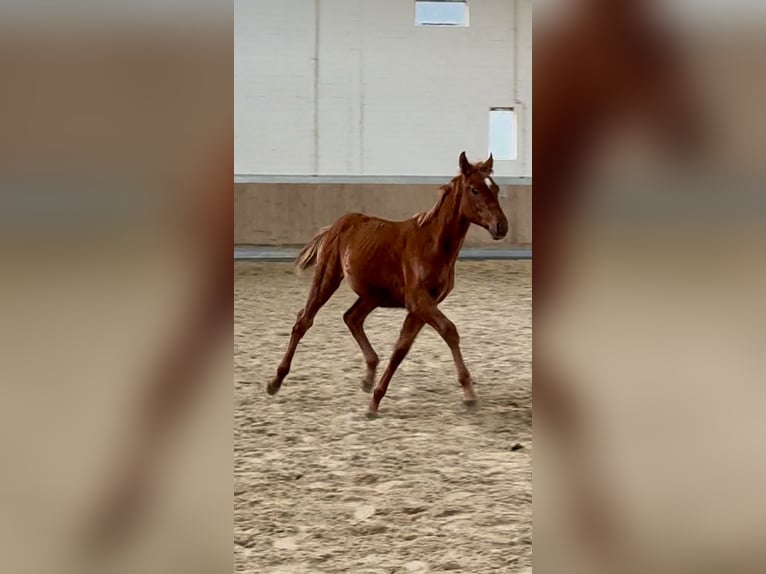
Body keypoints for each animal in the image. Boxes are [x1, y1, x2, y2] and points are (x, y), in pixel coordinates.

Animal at [266, 151, 509, 416]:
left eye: (495, 188)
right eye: (474, 189)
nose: (501, 227)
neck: (433, 244)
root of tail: (337, 225)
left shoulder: (423, 305)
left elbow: (401, 348)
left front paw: (375, 399)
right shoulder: (418, 301)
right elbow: (449, 331)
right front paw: (469, 393)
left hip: (372, 294)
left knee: (351, 318)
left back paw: (368, 376)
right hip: (327, 278)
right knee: (304, 320)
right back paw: (275, 381)